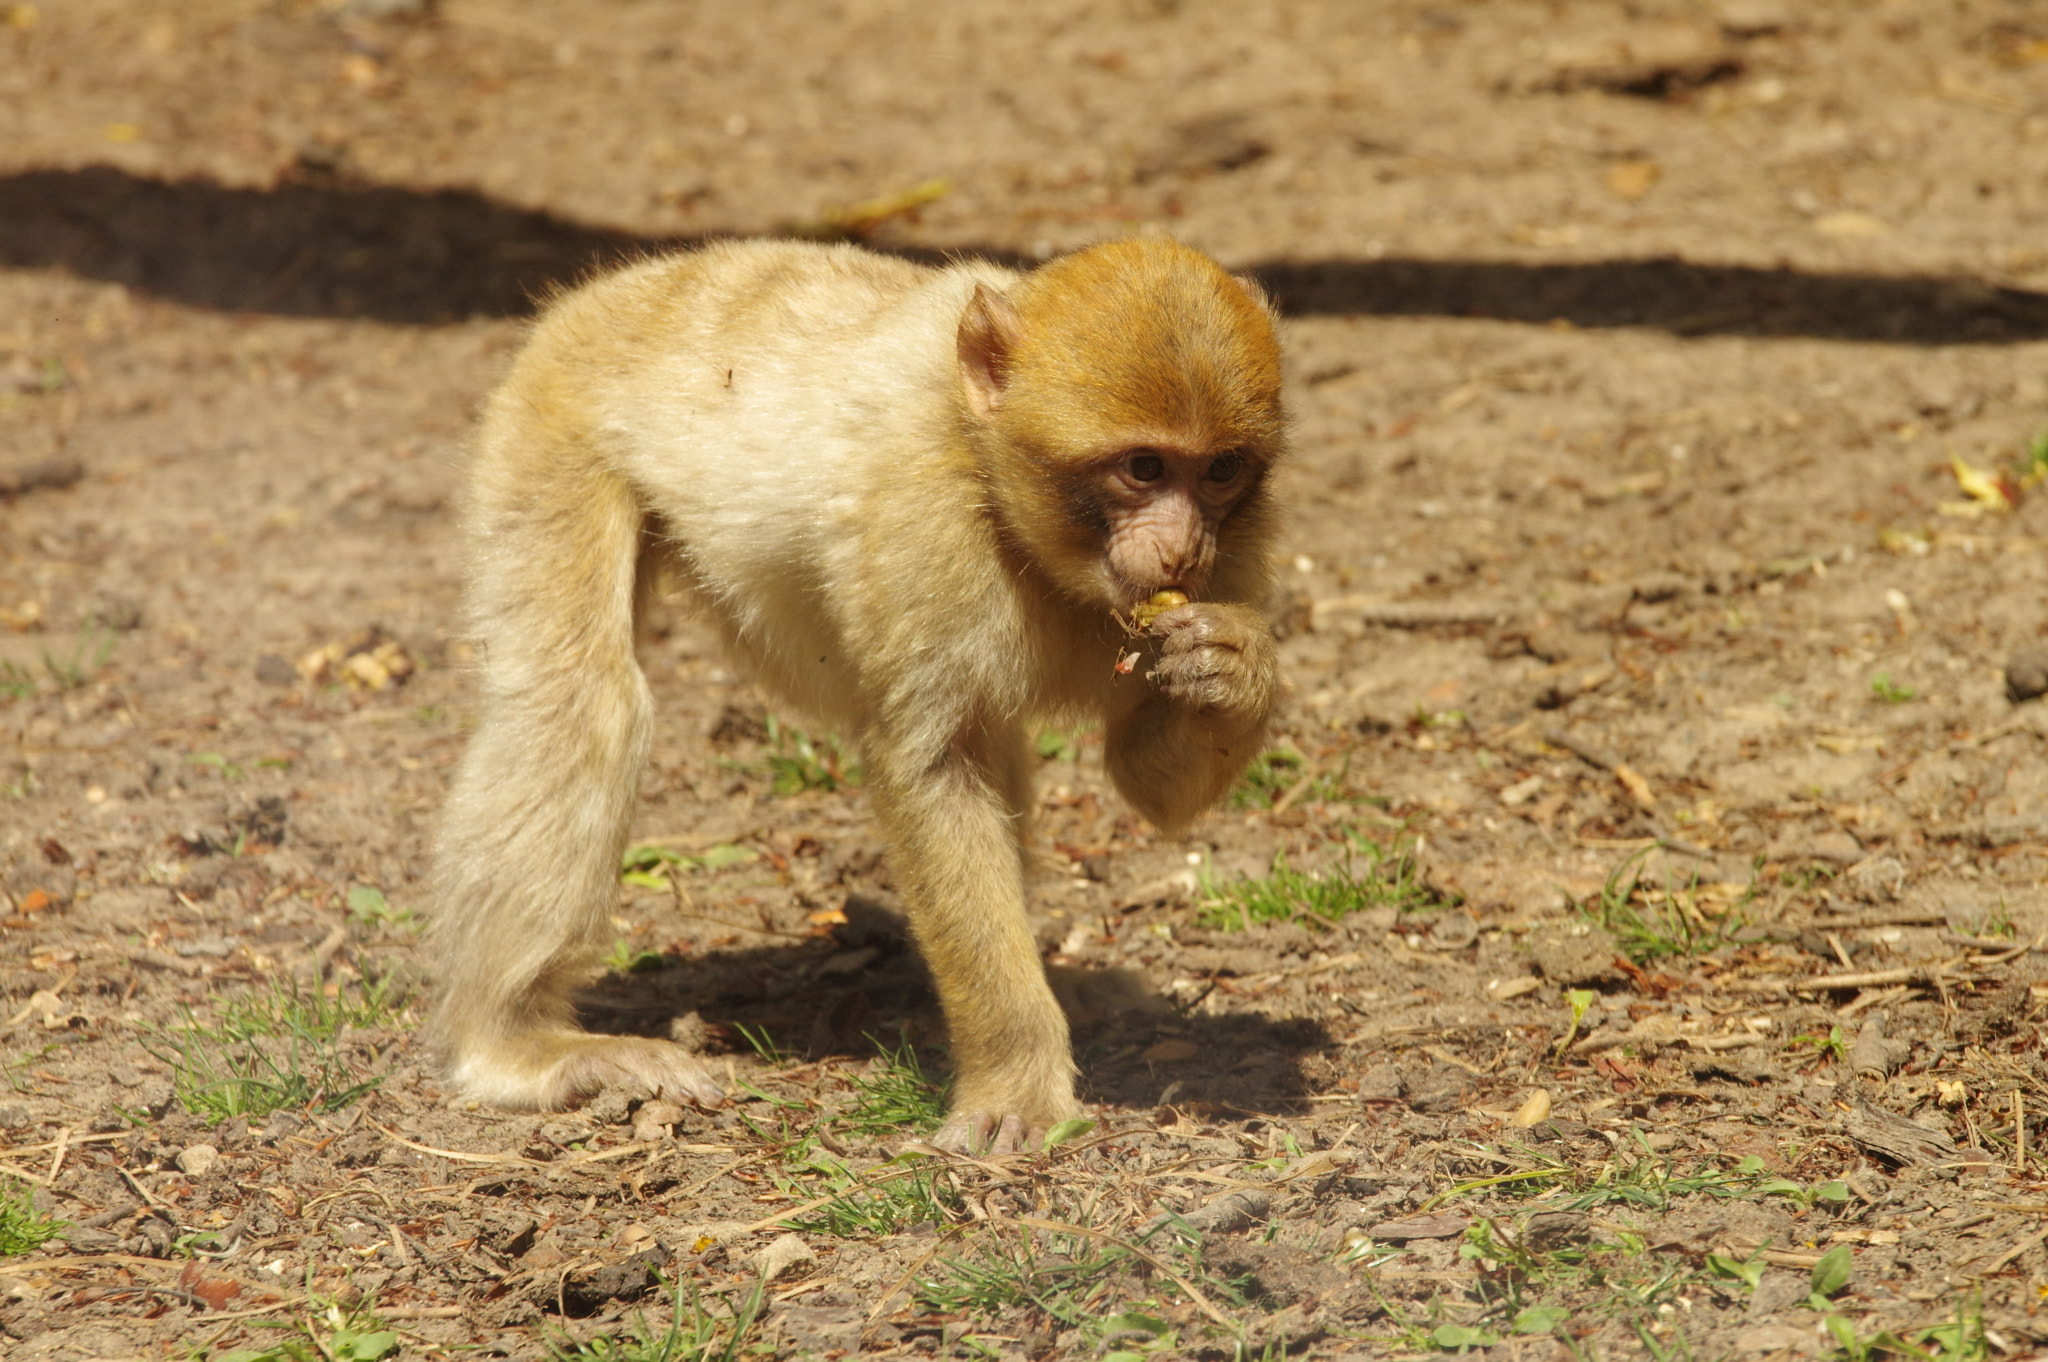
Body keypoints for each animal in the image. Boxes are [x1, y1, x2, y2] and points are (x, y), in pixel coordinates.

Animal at [430, 233, 1286, 1146]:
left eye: (1220, 472)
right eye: (1143, 468)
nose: (1183, 548)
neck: (989, 463)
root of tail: (627, 284)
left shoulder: (1235, 557)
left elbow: (1142, 778)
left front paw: (1234, 669)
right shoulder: (924, 510)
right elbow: (931, 768)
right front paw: (1015, 1081)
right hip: (551, 420)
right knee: (584, 702)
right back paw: (516, 1045)